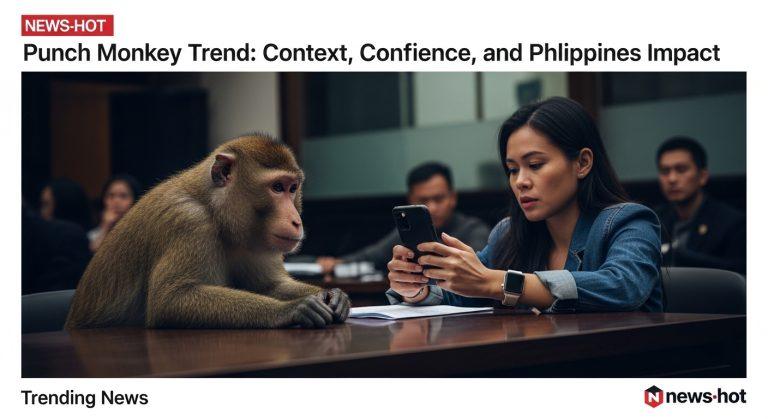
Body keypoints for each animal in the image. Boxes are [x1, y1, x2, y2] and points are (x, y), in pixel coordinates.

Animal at [65, 134, 350, 329]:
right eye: (277, 187)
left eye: (292, 188)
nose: (296, 221)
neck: (214, 211)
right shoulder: (189, 223)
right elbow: (170, 299)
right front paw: (291, 310)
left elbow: (270, 285)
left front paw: (333, 296)